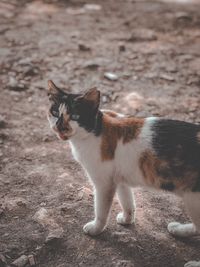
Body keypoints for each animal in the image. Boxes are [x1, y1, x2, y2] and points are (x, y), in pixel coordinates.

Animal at [47, 80, 200, 266]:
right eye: (55, 112)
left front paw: (96, 228)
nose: (59, 126)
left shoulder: (103, 184)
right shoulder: (118, 179)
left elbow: (101, 211)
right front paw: (127, 220)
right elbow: (127, 201)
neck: (96, 130)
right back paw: (178, 230)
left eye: (75, 116)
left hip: (194, 200)